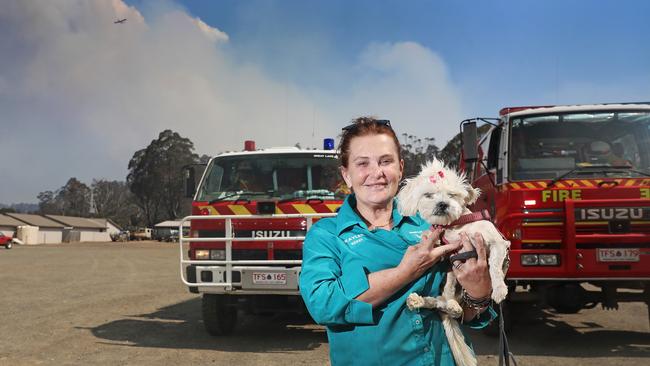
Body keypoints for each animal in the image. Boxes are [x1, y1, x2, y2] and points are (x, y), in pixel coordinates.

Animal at [394, 159, 506, 366]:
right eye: (428, 195)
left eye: (452, 195)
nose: (443, 204)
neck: (455, 227)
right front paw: (425, 238)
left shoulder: (498, 243)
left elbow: (495, 267)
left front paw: (500, 289)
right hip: (450, 279)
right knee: (441, 303)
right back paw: (421, 300)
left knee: (450, 307)